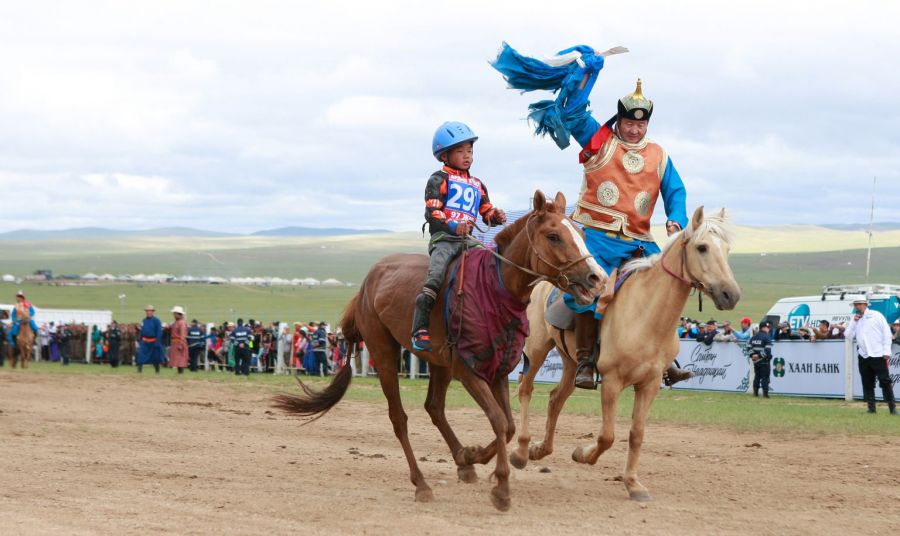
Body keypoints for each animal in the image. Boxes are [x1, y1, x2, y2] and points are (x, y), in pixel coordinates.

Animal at [274, 192, 608, 510]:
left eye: (580, 232)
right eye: (554, 236)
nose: (597, 278)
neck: (494, 289)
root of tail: (368, 282)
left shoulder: (498, 370)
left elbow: (509, 426)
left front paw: (473, 456)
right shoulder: (468, 369)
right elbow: (499, 421)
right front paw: (500, 488)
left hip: (437, 362)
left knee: (434, 407)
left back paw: (462, 461)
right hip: (385, 355)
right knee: (399, 418)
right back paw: (421, 484)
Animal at [510, 206, 740, 502]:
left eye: (727, 249)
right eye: (702, 247)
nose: (730, 294)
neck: (646, 315)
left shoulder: (649, 384)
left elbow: (637, 433)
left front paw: (633, 483)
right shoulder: (612, 381)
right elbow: (607, 436)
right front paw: (583, 454)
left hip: (571, 364)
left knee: (555, 399)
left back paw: (541, 449)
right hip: (537, 349)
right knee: (525, 390)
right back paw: (521, 451)